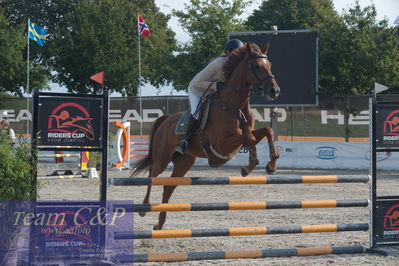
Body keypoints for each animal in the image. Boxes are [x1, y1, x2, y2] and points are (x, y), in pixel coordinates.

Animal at [133, 42, 280, 230]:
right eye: (256, 66)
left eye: (270, 65)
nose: (274, 90)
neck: (234, 105)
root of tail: (166, 120)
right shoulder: (222, 144)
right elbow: (250, 138)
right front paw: (250, 166)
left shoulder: (240, 137)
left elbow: (264, 132)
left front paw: (269, 165)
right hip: (162, 157)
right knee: (152, 174)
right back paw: (144, 208)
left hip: (184, 162)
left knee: (167, 187)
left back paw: (160, 223)